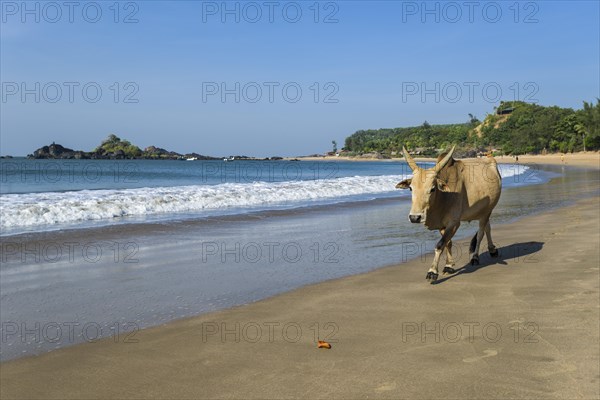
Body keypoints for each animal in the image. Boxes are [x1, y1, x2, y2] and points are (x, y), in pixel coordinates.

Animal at [396, 146, 504, 282]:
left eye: (432, 188)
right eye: (411, 188)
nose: (415, 217)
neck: (444, 197)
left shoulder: (454, 223)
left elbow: (440, 245)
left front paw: (432, 271)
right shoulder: (442, 225)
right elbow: (448, 243)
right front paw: (449, 265)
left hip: (487, 211)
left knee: (480, 233)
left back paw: (475, 257)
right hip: (484, 211)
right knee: (487, 228)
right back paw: (492, 250)